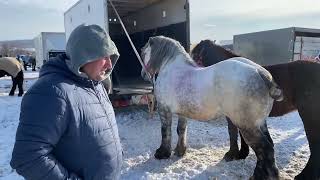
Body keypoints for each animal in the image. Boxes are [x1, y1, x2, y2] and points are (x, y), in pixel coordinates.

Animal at [140, 35, 282, 179]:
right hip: (260, 123)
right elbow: (181, 130)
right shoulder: (182, 113)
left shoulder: (164, 110)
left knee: (264, 148)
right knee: (269, 146)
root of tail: (261, 73)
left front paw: (162, 153)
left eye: (143, 53)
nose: (143, 74)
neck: (171, 68)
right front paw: (180, 151)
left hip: (247, 126)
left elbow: (165, 132)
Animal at [191, 38, 320, 179]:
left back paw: (304, 175)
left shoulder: (235, 117)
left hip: (309, 116)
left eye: (194, 55)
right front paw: (242, 154)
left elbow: (233, 133)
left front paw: (232, 154)